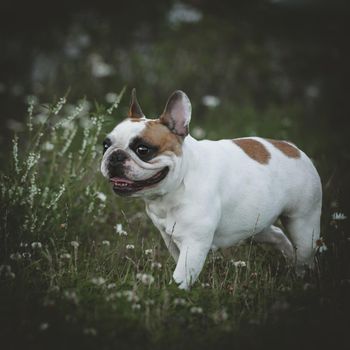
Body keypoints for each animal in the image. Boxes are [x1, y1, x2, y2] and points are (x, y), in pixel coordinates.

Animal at [100, 89, 322, 288]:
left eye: (142, 150)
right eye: (105, 145)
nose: (115, 155)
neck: (178, 183)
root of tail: (294, 149)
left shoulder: (194, 244)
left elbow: (180, 277)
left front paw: (176, 293)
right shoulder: (170, 238)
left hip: (304, 225)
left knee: (304, 252)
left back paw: (301, 277)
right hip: (256, 225)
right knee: (277, 234)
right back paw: (289, 256)